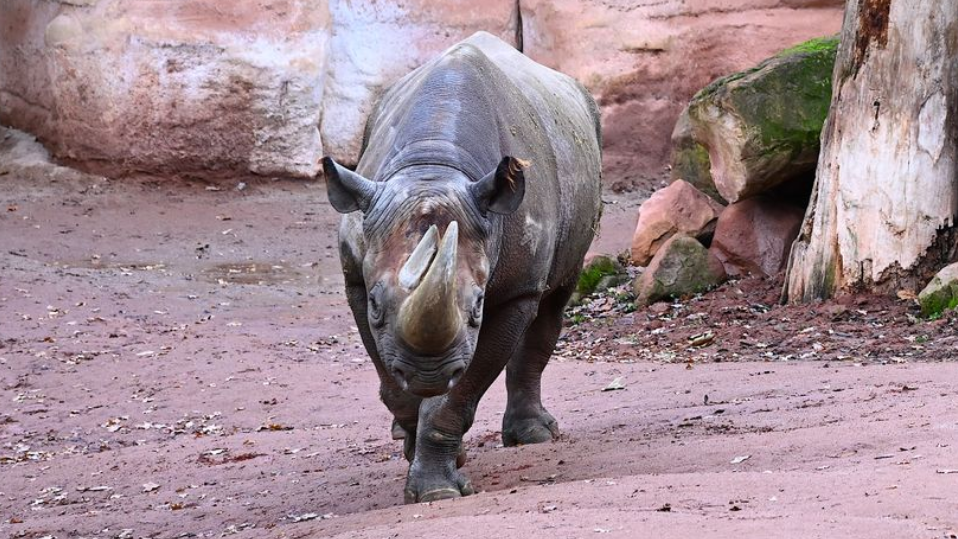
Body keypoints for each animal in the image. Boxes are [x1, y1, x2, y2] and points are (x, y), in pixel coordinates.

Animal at [322, 31, 601, 503]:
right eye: (377, 304)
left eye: (477, 307)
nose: (430, 373)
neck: (432, 169)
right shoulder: (355, 277)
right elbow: (392, 383)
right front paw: (428, 447)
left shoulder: (514, 292)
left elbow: (460, 395)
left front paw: (437, 489)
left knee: (554, 300)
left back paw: (534, 435)